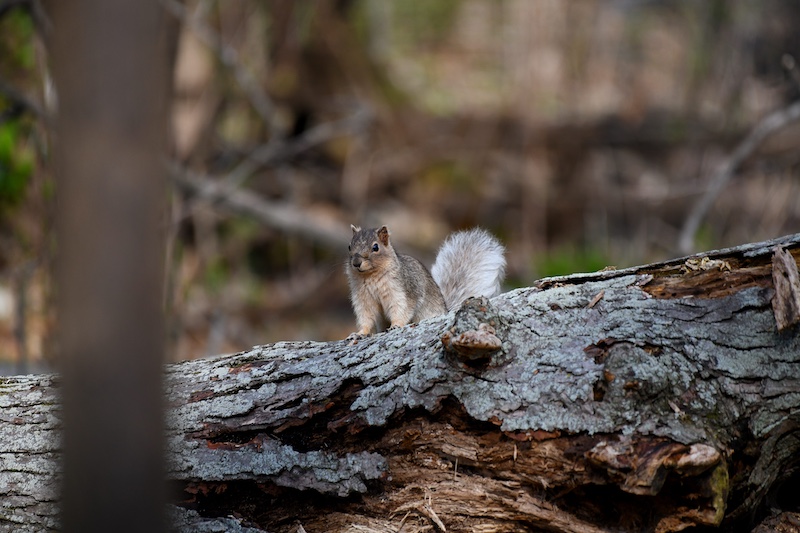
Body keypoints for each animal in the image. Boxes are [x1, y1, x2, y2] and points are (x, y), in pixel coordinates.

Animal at [345, 225, 506, 339]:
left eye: (375, 247)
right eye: (349, 246)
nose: (356, 263)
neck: (370, 276)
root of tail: (445, 310)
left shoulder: (402, 291)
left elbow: (401, 308)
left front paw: (396, 325)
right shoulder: (363, 298)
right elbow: (366, 317)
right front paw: (360, 333)